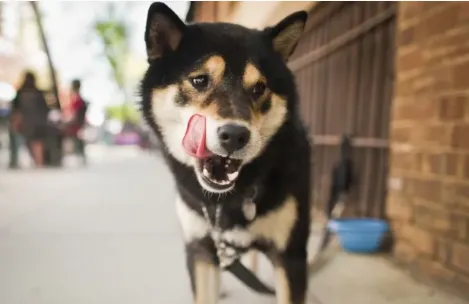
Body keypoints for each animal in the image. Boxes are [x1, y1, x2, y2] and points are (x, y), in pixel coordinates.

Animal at [140, 1, 310, 302]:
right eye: (199, 80)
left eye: (259, 88)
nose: (234, 135)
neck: (227, 201)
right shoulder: (199, 249)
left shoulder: (291, 256)